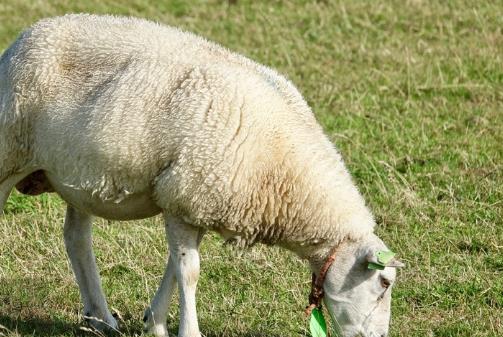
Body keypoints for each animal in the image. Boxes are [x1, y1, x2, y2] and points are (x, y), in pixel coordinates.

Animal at [0, 13, 404, 336]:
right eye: (383, 283)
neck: (283, 170)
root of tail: (26, 35)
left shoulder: (191, 204)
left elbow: (174, 268)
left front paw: (154, 322)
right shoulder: (185, 193)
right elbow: (189, 272)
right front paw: (186, 331)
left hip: (75, 174)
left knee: (77, 239)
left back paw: (100, 317)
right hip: (10, 152)